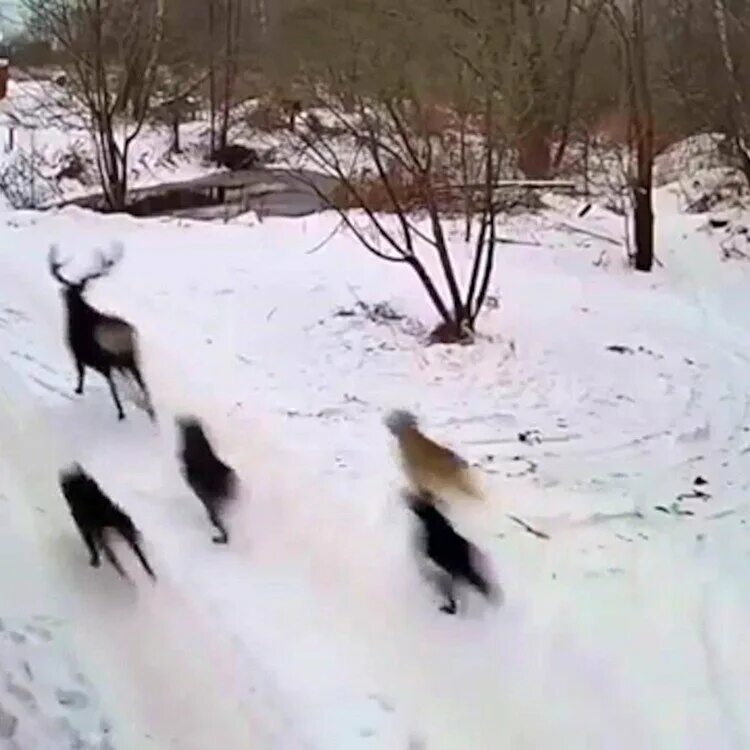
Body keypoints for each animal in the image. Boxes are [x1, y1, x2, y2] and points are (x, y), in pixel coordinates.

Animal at [47, 242, 156, 424]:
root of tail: (127, 333)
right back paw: (151, 413)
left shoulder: (77, 352)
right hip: (131, 359)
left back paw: (121, 412)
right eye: (71, 291)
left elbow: (80, 373)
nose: (67, 295)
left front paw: (78, 390)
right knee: (143, 383)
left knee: (113, 384)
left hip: (107, 358)